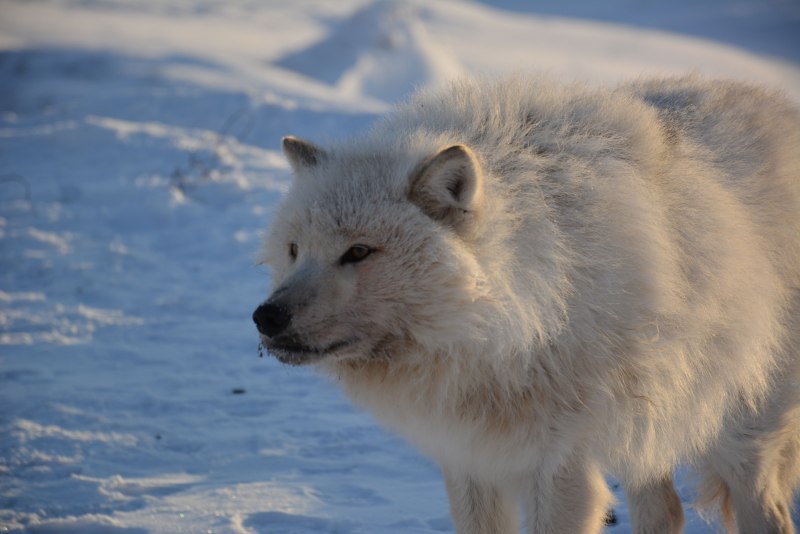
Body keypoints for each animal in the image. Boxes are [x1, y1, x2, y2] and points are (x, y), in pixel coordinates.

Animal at [253, 76, 800, 533]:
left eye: (359, 252)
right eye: (295, 250)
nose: (266, 316)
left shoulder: (560, 469)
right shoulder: (469, 459)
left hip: (739, 440)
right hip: (649, 432)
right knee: (666, 512)